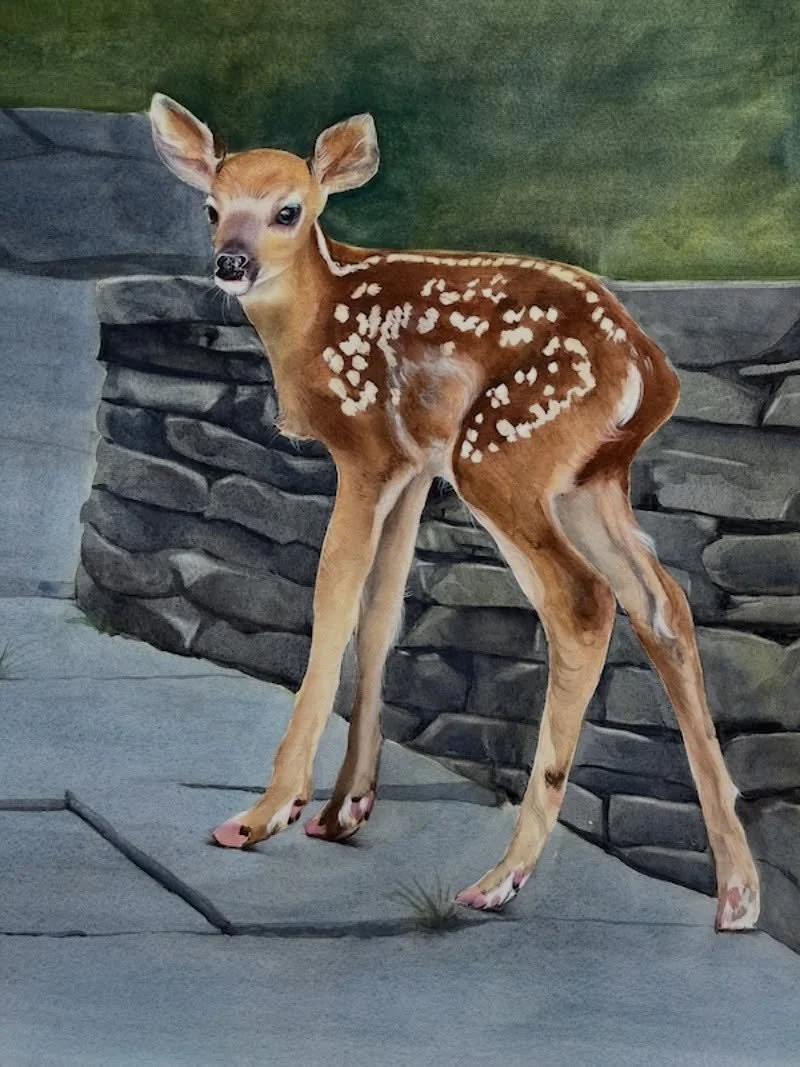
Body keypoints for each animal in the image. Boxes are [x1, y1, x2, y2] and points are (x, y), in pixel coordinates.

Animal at [148, 92, 759, 931]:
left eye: (288, 210)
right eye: (211, 207)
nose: (230, 263)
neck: (318, 317)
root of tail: (652, 371)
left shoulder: (368, 448)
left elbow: (333, 599)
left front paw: (266, 813)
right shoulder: (412, 464)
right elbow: (382, 612)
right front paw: (344, 809)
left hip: (501, 452)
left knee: (582, 602)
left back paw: (501, 877)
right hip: (589, 479)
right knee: (662, 603)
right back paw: (737, 894)